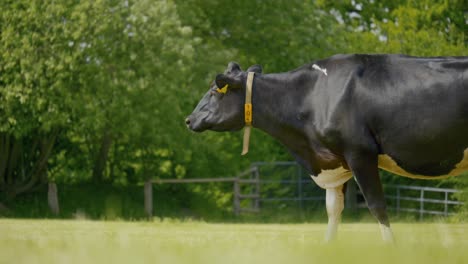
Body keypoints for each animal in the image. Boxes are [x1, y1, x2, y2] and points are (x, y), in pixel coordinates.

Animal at [186, 54, 468, 242]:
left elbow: (377, 206)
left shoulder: (359, 152)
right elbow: (333, 211)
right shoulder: (334, 160)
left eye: (214, 91)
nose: (189, 119)